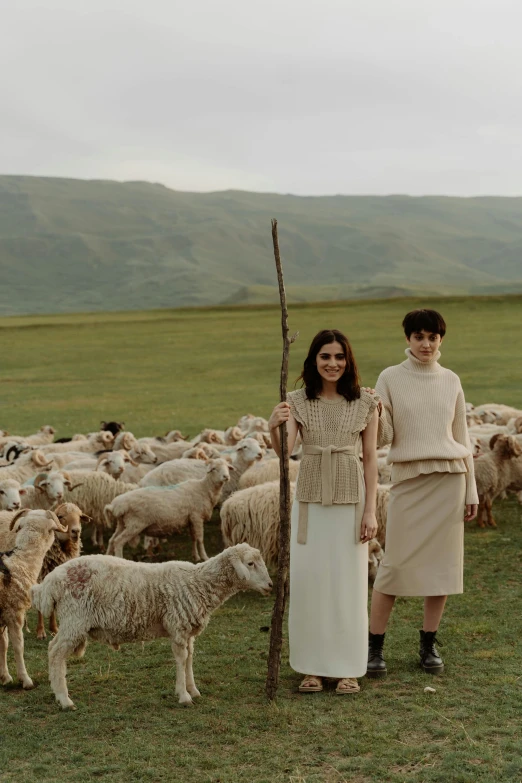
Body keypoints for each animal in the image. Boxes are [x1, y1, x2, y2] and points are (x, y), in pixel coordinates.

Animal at [0, 508, 68, 688]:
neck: (21, 561)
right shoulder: (14, 612)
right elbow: (18, 645)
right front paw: (25, 680)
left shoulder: (3, 615)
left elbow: (4, 644)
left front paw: (5, 677)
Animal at [31, 544, 272, 712]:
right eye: (250, 563)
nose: (271, 585)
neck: (198, 582)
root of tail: (49, 582)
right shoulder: (177, 625)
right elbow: (181, 659)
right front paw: (184, 695)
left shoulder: (187, 631)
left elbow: (190, 658)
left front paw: (193, 689)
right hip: (74, 619)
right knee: (55, 653)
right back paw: (64, 699)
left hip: (73, 621)